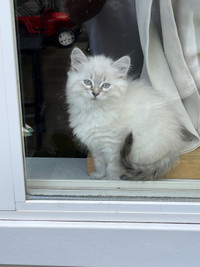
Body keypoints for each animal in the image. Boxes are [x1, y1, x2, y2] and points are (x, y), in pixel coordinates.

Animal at [66, 48, 183, 181]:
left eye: (105, 85)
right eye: (87, 82)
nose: (95, 93)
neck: (95, 112)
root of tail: (175, 147)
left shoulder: (114, 145)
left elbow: (112, 166)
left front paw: (111, 180)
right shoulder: (96, 146)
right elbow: (99, 163)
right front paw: (99, 176)